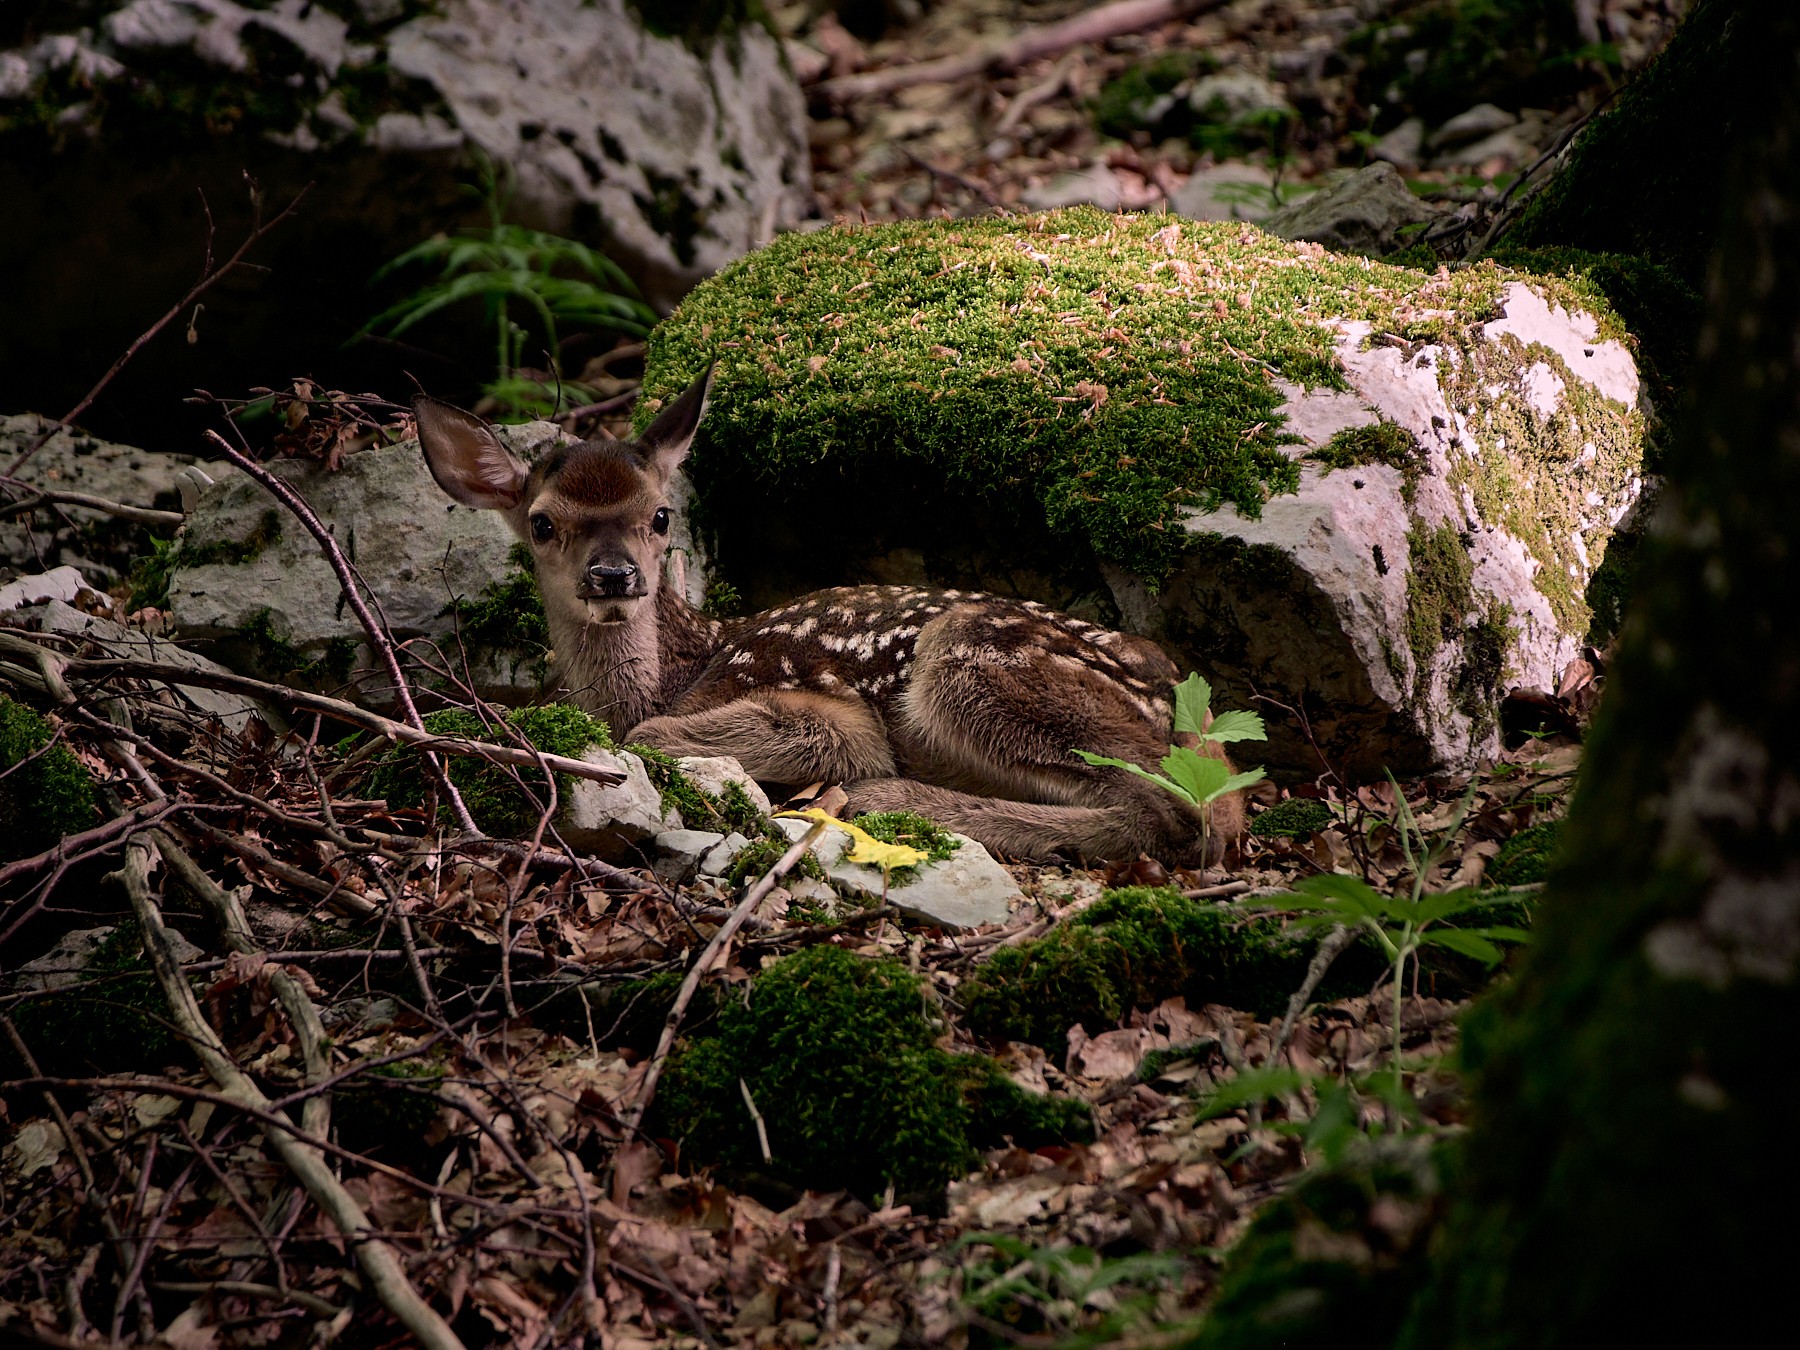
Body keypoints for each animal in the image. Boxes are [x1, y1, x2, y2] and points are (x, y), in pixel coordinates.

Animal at [413, 368, 1244, 866]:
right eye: (543, 524)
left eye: (660, 515)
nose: (614, 575)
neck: (680, 668)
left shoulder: (830, 714)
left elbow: (649, 733)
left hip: (971, 664)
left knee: (1169, 808)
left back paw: (895, 802)